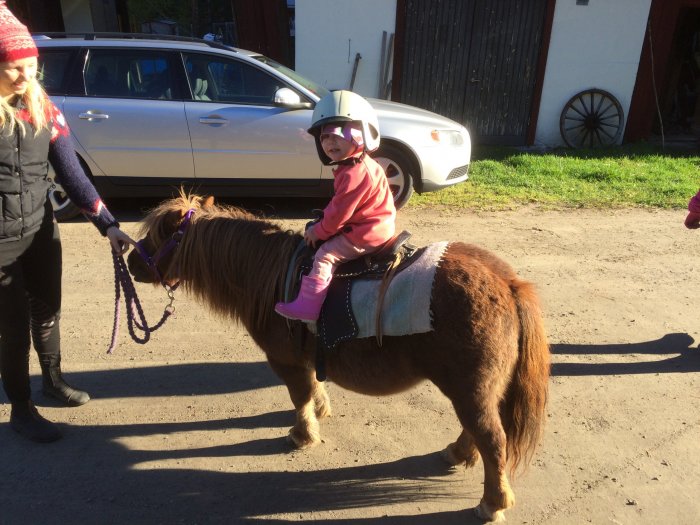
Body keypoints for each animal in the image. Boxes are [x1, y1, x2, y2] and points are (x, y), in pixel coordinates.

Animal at [127, 193, 552, 520]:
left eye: (160, 235)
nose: (131, 264)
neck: (272, 276)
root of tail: (508, 282)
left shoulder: (284, 361)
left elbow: (299, 396)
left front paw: (302, 435)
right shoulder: (303, 361)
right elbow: (312, 388)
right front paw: (321, 409)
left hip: (469, 388)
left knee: (492, 438)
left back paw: (492, 504)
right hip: (474, 388)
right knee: (477, 431)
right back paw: (457, 454)